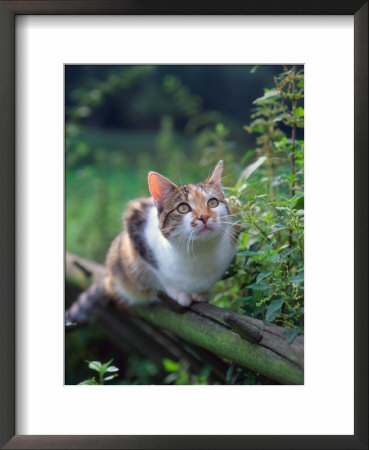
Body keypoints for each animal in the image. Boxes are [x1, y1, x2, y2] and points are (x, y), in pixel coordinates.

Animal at [66, 162, 237, 324]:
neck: (199, 252)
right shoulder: (135, 225)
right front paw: (179, 293)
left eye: (213, 203)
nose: (204, 217)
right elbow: (160, 274)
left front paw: (202, 293)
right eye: (183, 208)